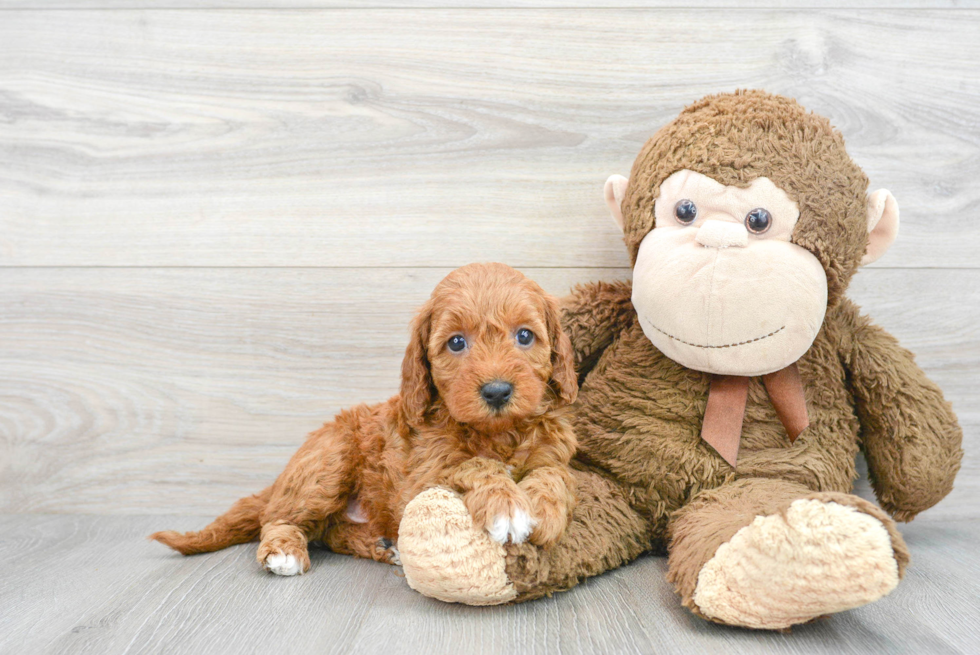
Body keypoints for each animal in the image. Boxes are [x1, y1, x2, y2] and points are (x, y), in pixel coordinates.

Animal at [150, 262, 580, 576]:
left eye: (525, 336)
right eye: (457, 342)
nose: (497, 391)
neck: (497, 433)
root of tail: (282, 478)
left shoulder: (554, 451)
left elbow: (554, 473)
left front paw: (544, 509)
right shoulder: (423, 476)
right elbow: (472, 463)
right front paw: (506, 503)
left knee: (329, 531)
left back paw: (382, 546)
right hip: (327, 463)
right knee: (278, 518)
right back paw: (284, 551)